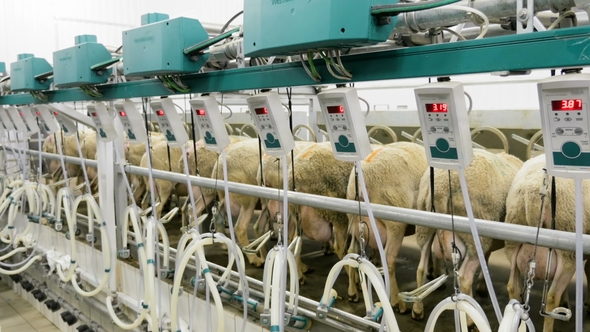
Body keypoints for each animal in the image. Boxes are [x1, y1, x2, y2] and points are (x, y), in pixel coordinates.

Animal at [344, 142, 428, 312]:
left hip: (354, 220)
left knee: (351, 250)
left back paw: (352, 292)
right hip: (395, 223)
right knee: (389, 259)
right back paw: (397, 302)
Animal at [410, 150, 524, 322]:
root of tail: (441, 188)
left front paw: (482, 286)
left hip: (425, 226)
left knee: (421, 267)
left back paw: (417, 310)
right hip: (476, 237)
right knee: (464, 277)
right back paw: (470, 320)